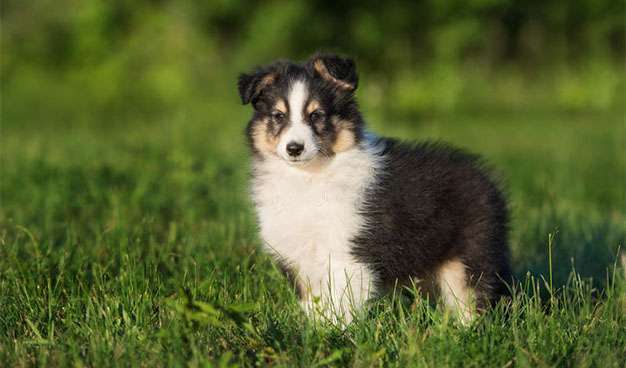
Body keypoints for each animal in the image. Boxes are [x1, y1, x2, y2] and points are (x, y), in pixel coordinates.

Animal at [236, 52, 510, 324]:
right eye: (278, 116)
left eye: (316, 115)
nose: (294, 148)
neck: (308, 176)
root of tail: (487, 179)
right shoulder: (299, 257)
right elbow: (314, 303)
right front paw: (313, 329)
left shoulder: (349, 253)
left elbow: (341, 303)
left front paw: (334, 332)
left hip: (468, 259)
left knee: (472, 302)